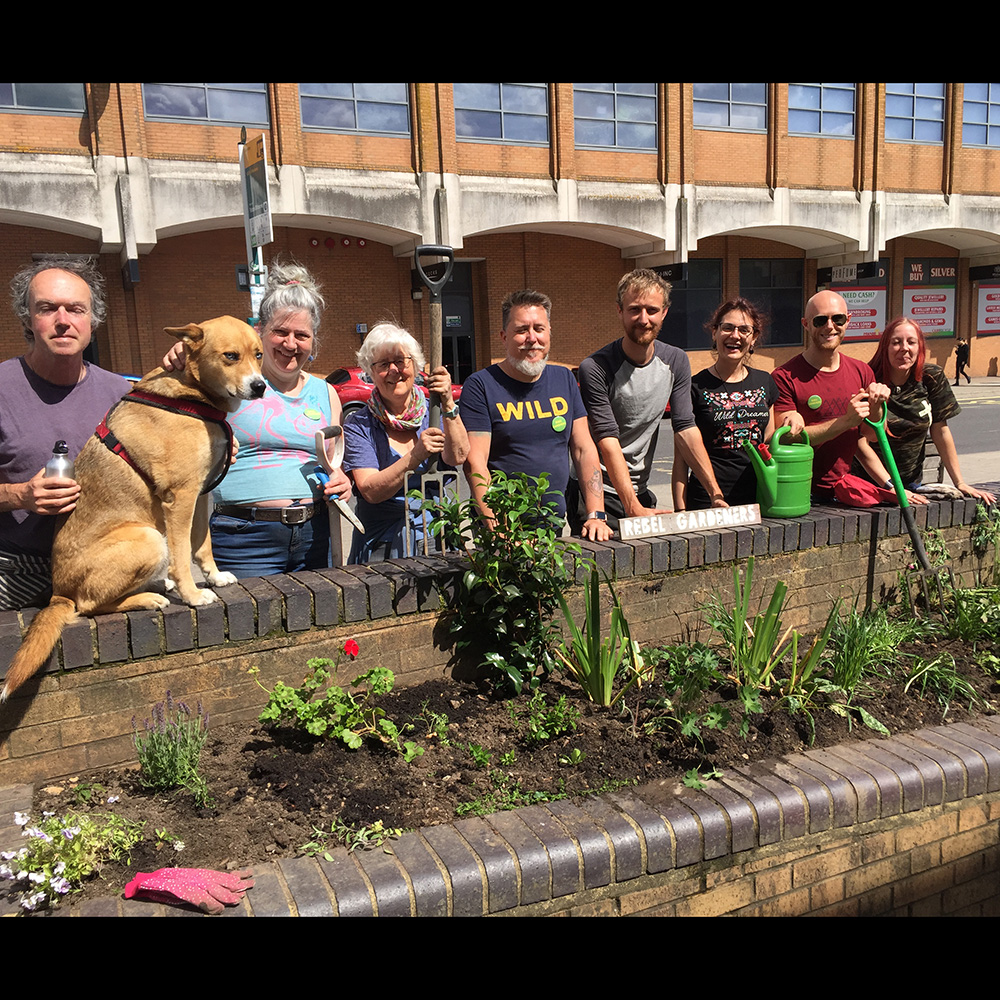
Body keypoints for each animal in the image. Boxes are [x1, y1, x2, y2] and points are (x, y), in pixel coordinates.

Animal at [0, 316, 266, 700]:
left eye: (259, 355)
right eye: (230, 356)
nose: (260, 386)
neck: (191, 393)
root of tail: (58, 593)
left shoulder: (202, 491)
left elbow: (202, 544)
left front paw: (215, 576)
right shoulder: (181, 495)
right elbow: (182, 554)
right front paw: (193, 594)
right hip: (149, 537)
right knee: (88, 606)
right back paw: (151, 598)